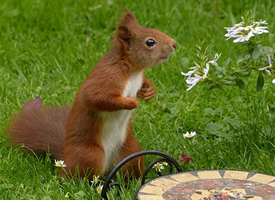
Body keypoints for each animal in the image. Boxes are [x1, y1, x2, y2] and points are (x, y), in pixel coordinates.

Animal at [6, 10, 177, 180]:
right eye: (150, 42)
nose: (174, 44)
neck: (132, 71)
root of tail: (65, 158)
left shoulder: (139, 78)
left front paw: (149, 91)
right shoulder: (108, 78)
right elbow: (95, 98)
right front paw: (131, 102)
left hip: (131, 151)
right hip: (91, 155)